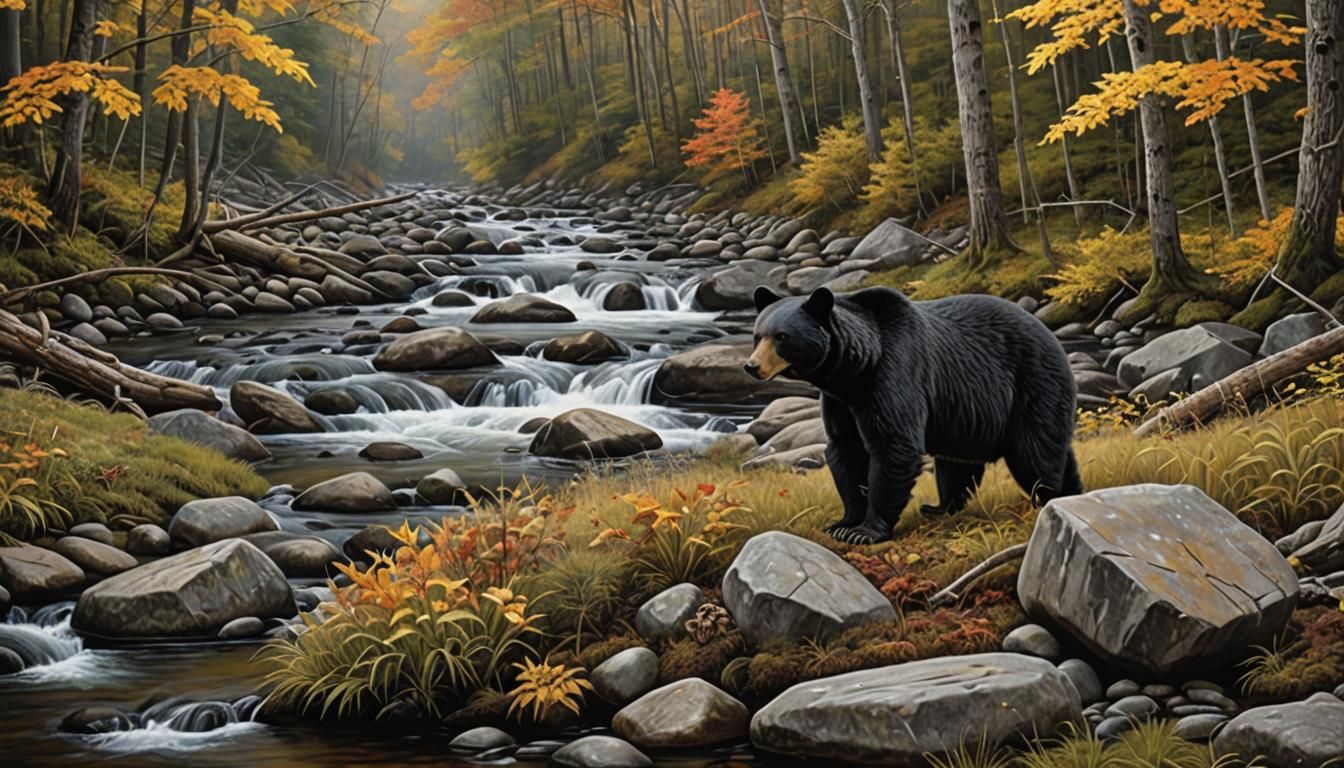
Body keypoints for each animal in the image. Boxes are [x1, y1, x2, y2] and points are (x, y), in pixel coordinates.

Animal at [746, 285, 1082, 545]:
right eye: (757, 335)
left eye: (781, 337)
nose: (751, 366)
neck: (856, 371)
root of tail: (1054, 339)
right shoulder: (840, 401)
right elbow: (845, 449)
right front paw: (844, 523)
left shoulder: (895, 372)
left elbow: (893, 444)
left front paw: (866, 532)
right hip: (967, 415)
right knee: (958, 463)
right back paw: (941, 507)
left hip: (1034, 386)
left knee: (1035, 453)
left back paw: (1049, 498)